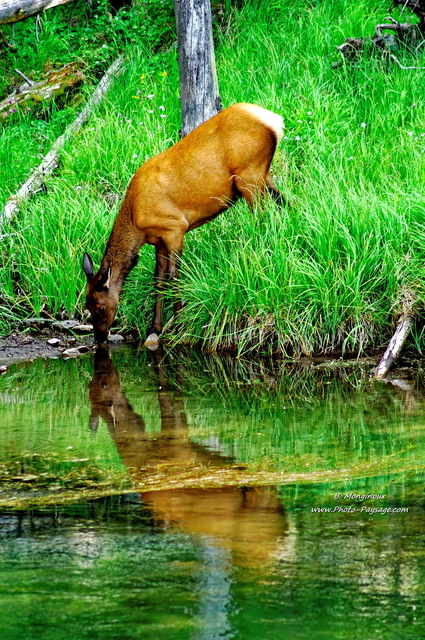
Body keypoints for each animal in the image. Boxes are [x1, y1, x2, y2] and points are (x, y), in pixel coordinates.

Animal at [81, 104, 284, 344]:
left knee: (264, 217)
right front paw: (155, 327)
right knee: (284, 204)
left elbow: (174, 275)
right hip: (263, 175)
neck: (136, 222)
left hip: (249, 174)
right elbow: (158, 280)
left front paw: (179, 321)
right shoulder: (158, 240)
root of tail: (274, 120)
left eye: (101, 307)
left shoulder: (175, 227)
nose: (99, 337)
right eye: (86, 305)